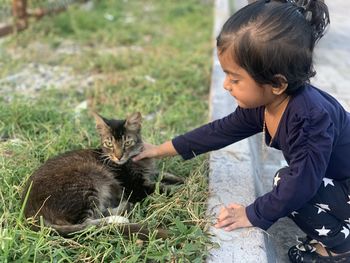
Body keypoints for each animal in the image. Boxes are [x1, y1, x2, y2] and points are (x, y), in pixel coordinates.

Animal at [21, 112, 183, 240]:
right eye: (109, 144)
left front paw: (182, 180)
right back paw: (119, 218)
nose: (118, 156)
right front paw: (184, 189)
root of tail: (29, 212)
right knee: (87, 225)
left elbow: (165, 175)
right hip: (88, 182)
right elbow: (163, 187)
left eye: (127, 142)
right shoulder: (135, 187)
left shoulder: (150, 175)